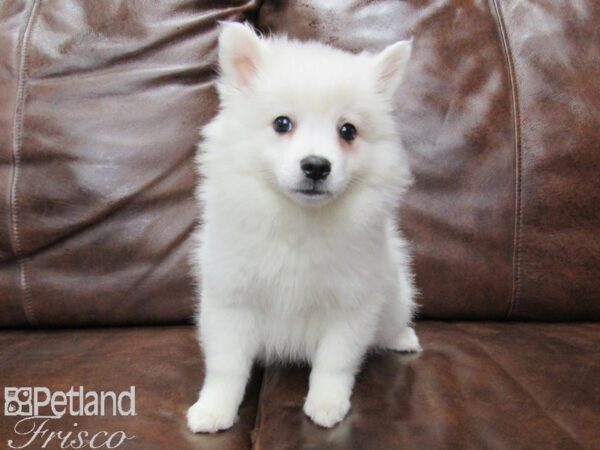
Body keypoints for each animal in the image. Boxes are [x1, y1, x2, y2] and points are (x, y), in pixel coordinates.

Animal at [186, 22, 418, 432]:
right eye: (282, 123)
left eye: (348, 130)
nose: (316, 166)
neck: (299, 219)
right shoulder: (231, 298)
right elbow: (227, 366)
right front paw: (214, 409)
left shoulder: (352, 304)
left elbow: (334, 362)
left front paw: (326, 404)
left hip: (394, 294)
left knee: (394, 320)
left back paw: (403, 337)